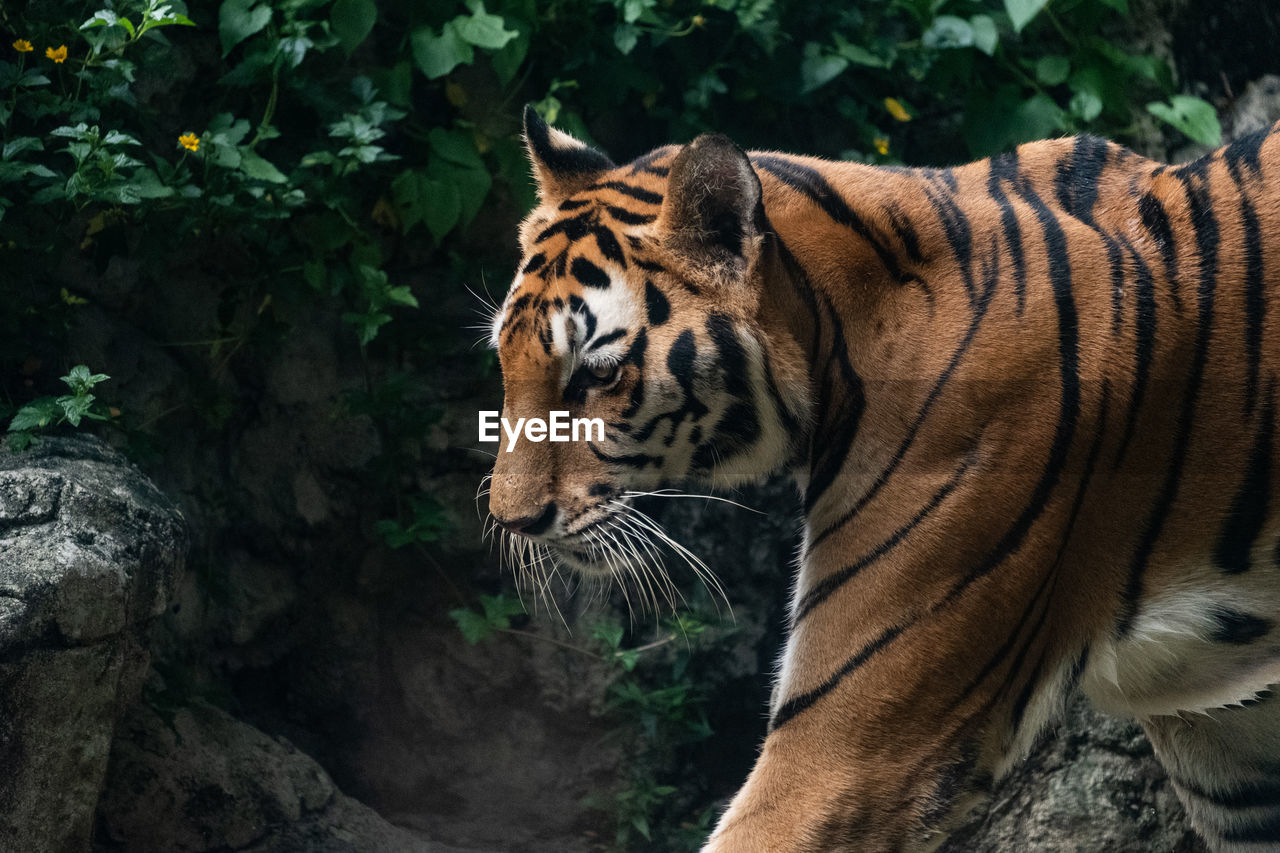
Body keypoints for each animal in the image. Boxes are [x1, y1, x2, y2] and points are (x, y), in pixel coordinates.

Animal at [483, 106, 1280, 850]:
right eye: (504, 360)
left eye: (598, 373)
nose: (511, 519)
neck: (841, 338)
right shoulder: (1227, 749)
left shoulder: (853, 749)